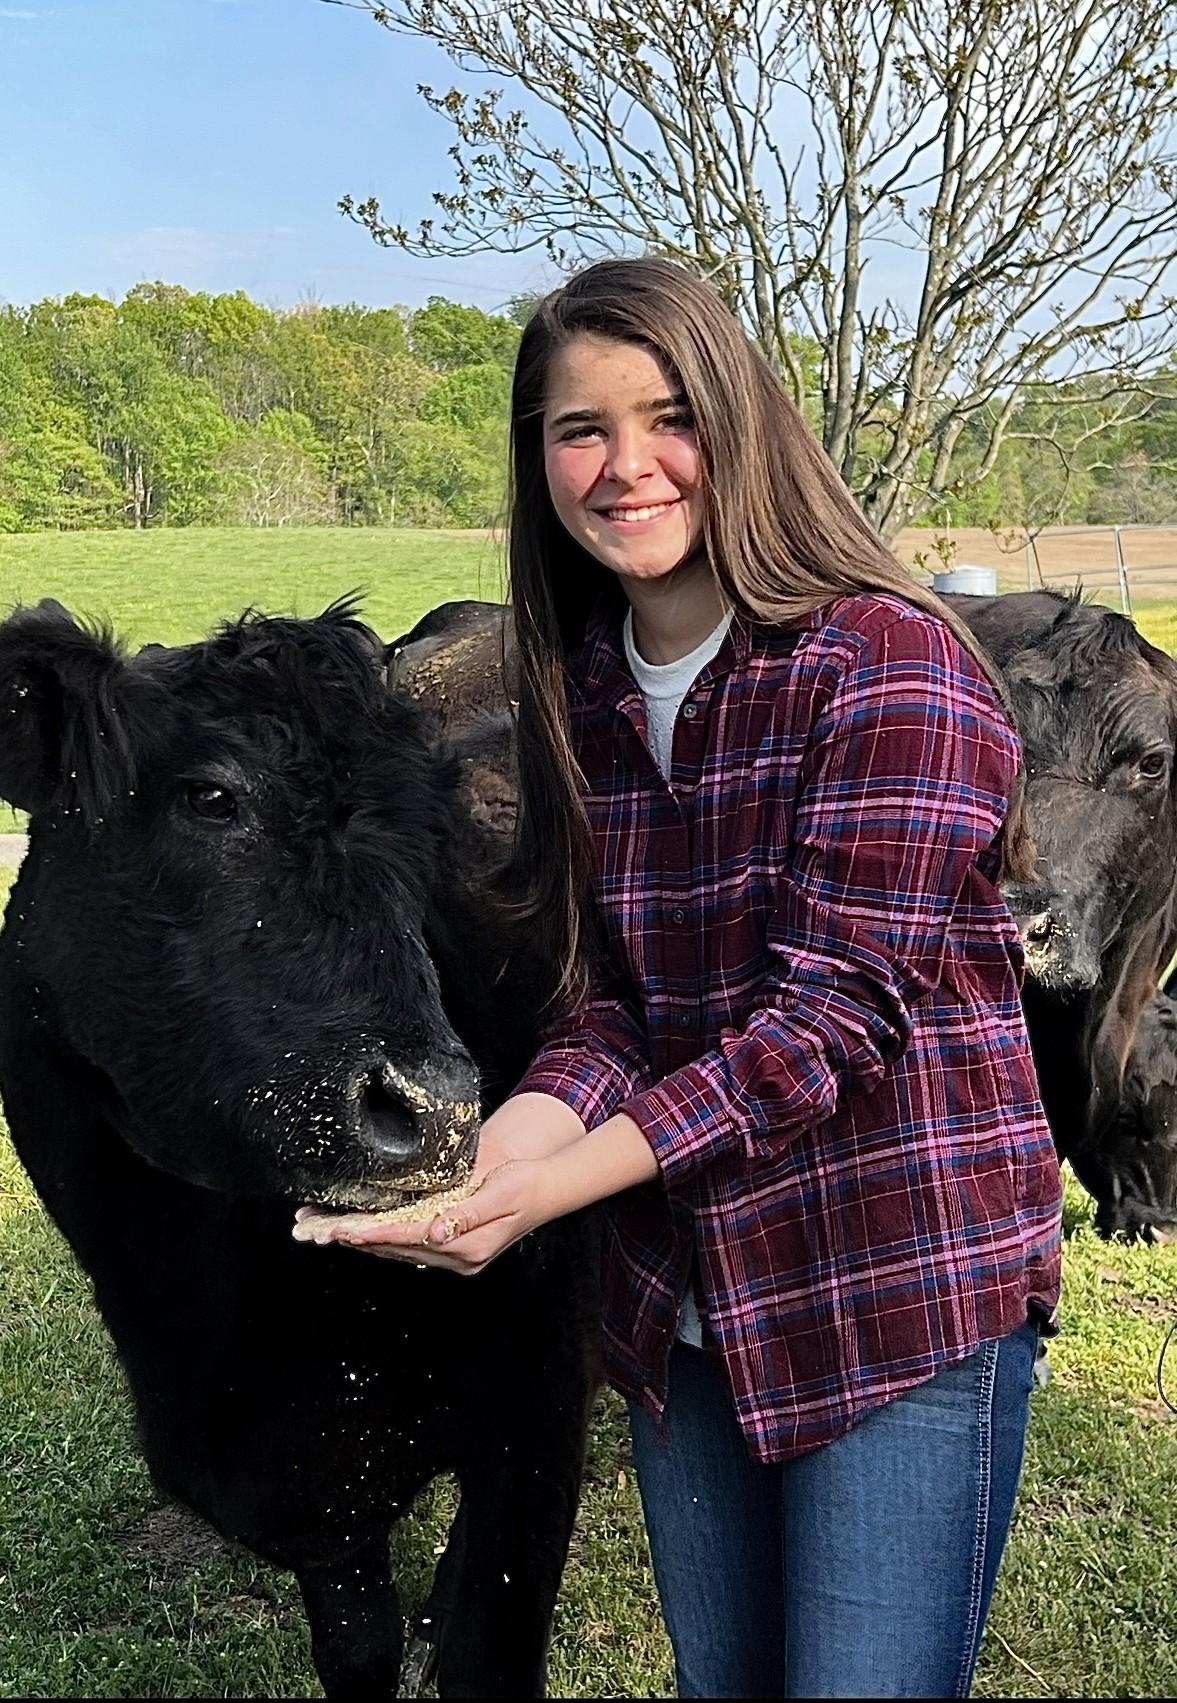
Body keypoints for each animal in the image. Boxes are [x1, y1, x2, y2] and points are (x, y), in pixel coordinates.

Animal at [0, 597, 598, 1699]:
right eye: (210, 796)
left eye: (431, 837)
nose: (440, 1109)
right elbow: (355, 1647)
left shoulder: (539, 1397)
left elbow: (489, 1653)